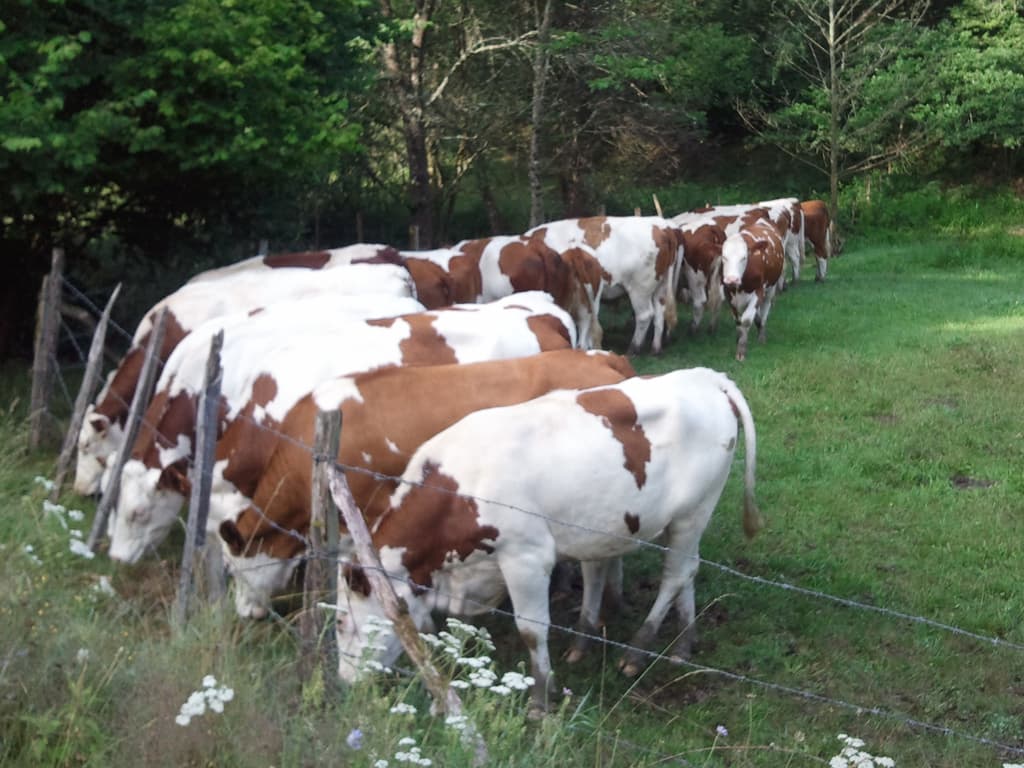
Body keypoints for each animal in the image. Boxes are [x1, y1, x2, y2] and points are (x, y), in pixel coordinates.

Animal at [333, 367, 761, 712]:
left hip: (694, 511)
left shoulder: (526, 557)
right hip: (680, 519)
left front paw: (541, 699)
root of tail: (707, 376)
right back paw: (679, 645)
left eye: (341, 622)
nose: (346, 683)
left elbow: (531, 628)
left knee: (673, 576)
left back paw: (637, 652)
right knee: (687, 570)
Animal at [524, 216, 682, 355]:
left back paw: (633, 349)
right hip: (659, 286)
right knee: (659, 314)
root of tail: (661, 226)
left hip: (640, 288)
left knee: (644, 315)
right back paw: (656, 349)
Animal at [721, 221, 786, 361]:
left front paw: (741, 351)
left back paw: (761, 334)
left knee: (765, 308)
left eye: (744, 258)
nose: (732, 279)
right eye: (724, 257)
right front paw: (738, 339)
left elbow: (746, 320)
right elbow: (738, 322)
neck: (740, 286)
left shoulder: (758, 291)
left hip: (771, 288)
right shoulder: (728, 294)